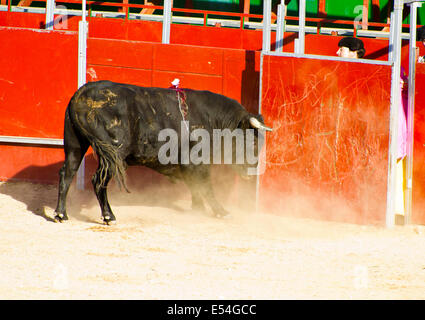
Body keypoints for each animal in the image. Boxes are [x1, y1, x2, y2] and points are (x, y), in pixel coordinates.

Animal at [53, 80, 272, 225]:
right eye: (253, 142)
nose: (252, 171)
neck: (214, 120)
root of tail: (83, 92)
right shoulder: (197, 163)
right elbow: (206, 187)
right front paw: (221, 212)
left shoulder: (189, 166)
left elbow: (196, 188)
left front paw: (198, 209)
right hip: (112, 154)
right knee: (98, 179)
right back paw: (109, 216)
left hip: (74, 144)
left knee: (67, 172)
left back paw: (60, 214)